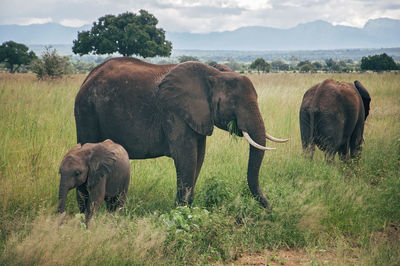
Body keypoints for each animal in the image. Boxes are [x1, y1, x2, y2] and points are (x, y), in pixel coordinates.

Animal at [75, 57, 288, 209]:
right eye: (234, 103)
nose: (270, 209)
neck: (214, 75)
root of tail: (87, 78)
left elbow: (199, 158)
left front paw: (187, 209)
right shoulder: (174, 112)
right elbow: (187, 157)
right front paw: (180, 212)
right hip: (86, 111)